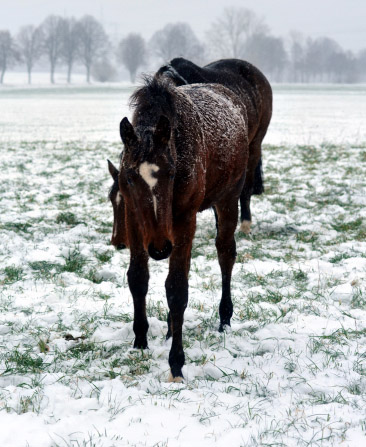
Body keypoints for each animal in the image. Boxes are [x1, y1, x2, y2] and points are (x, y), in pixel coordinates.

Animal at [114, 78, 250, 382]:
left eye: (172, 173)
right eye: (130, 176)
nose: (159, 247)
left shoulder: (185, 220)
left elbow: (177, 289)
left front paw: (176, 363)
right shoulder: (133, 217)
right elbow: (138, 278)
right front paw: (140, 341)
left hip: (228, 199)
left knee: (226, 254)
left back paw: (225, 318)